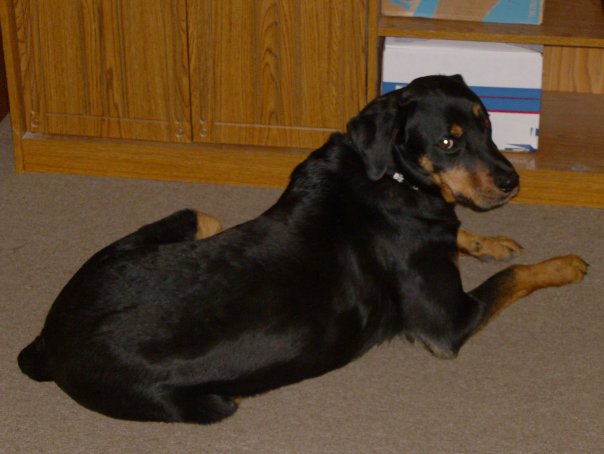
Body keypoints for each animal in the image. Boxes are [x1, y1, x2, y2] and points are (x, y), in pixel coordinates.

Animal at [17, 72, 584, 424]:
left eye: (488, 124)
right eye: (447, 142)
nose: (512, 182)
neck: (393, 174)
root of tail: (48, 340)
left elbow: (465, 237)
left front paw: (488, 239)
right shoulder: (449, 322)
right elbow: (516, 278)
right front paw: (565, 264)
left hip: (144, 238)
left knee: (204, 217)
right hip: (206, 402)